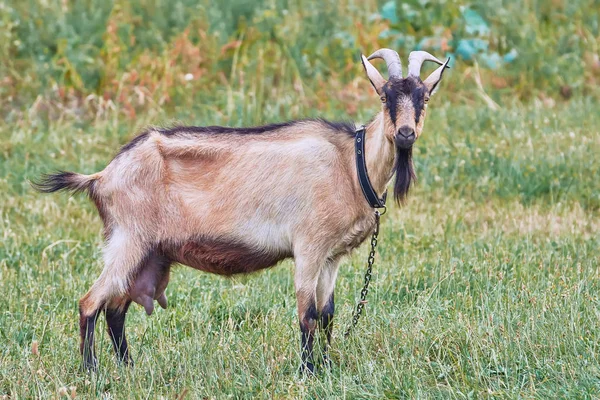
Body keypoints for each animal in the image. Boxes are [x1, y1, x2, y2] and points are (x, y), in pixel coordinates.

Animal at [31, 49, 446, 372]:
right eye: (385, 97)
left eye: (424, 98)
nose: (406, 133)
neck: (350, 163)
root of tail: (102, 176)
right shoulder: (308, 247)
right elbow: (307, 313)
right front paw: (308, 372)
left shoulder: (332, 256)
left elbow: (327, 314)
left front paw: (328, 367)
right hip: (128, 240)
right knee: (91, 302)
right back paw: (91, 371)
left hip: (146, 251)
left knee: (116, 308)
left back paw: (127, 368)